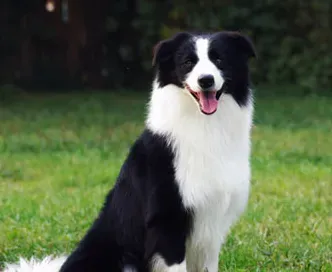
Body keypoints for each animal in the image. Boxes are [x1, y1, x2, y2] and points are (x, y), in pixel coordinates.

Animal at [3, 31, 255, 272]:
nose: (206, 80)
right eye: (187, 63)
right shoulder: (167, 221)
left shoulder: (212, 227)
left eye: (219, 59)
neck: (205, 126)